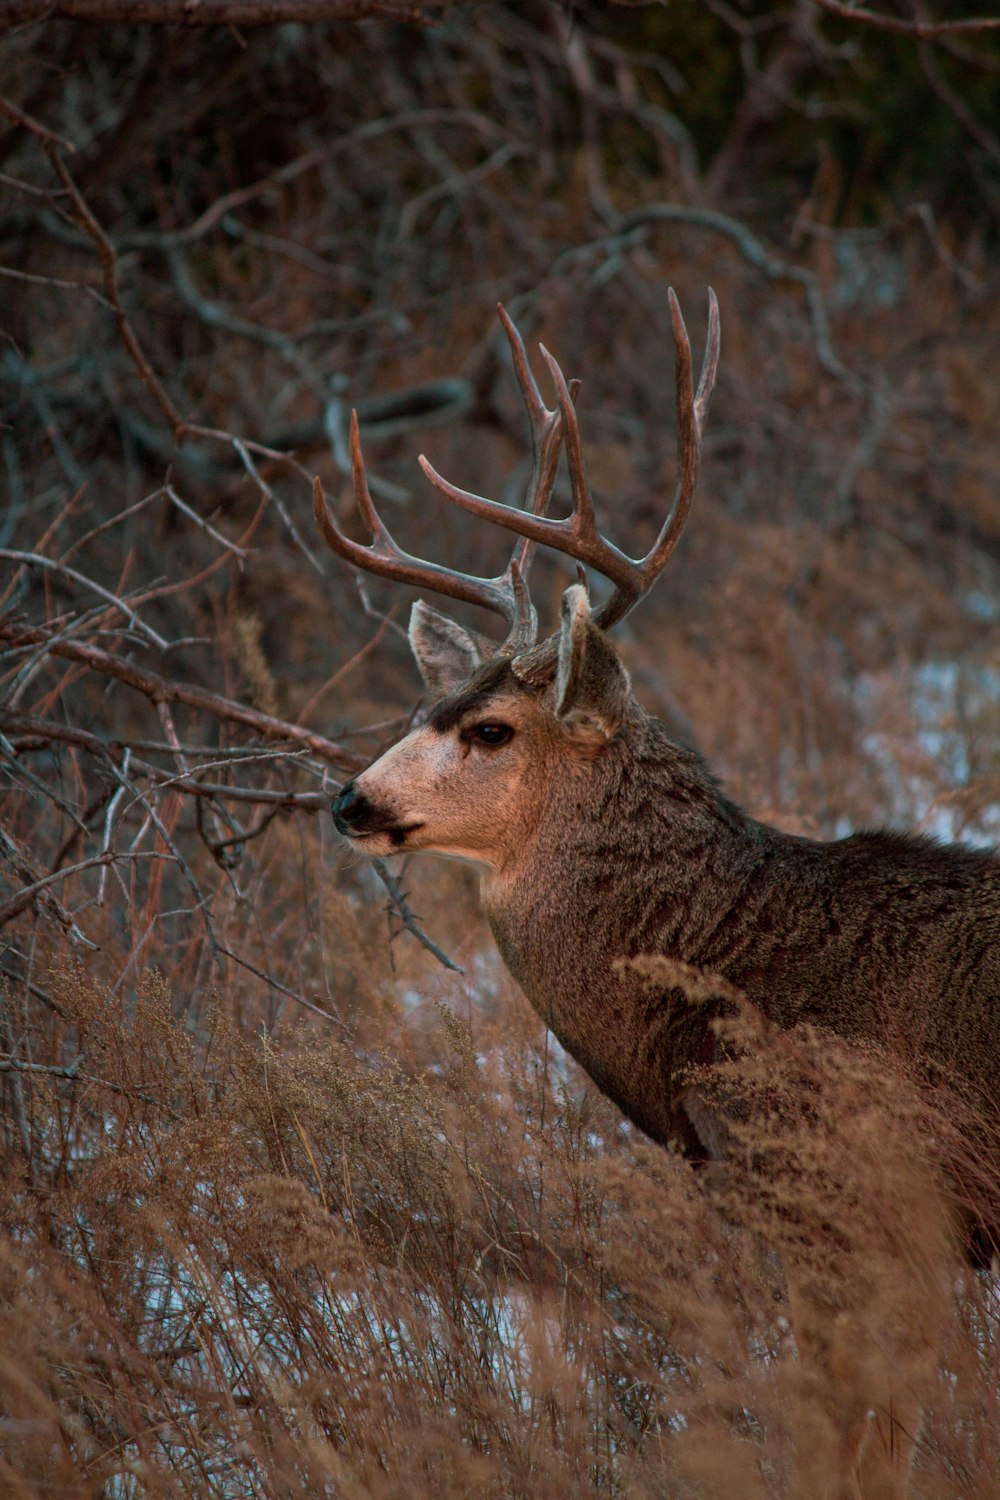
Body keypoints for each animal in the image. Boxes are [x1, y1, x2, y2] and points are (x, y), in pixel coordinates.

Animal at [310, 295, 995, 1500]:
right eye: (422, 703)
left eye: (490, 729)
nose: (350, 800)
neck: (731, 967)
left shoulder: (857, 1205)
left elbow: (853, 1444)